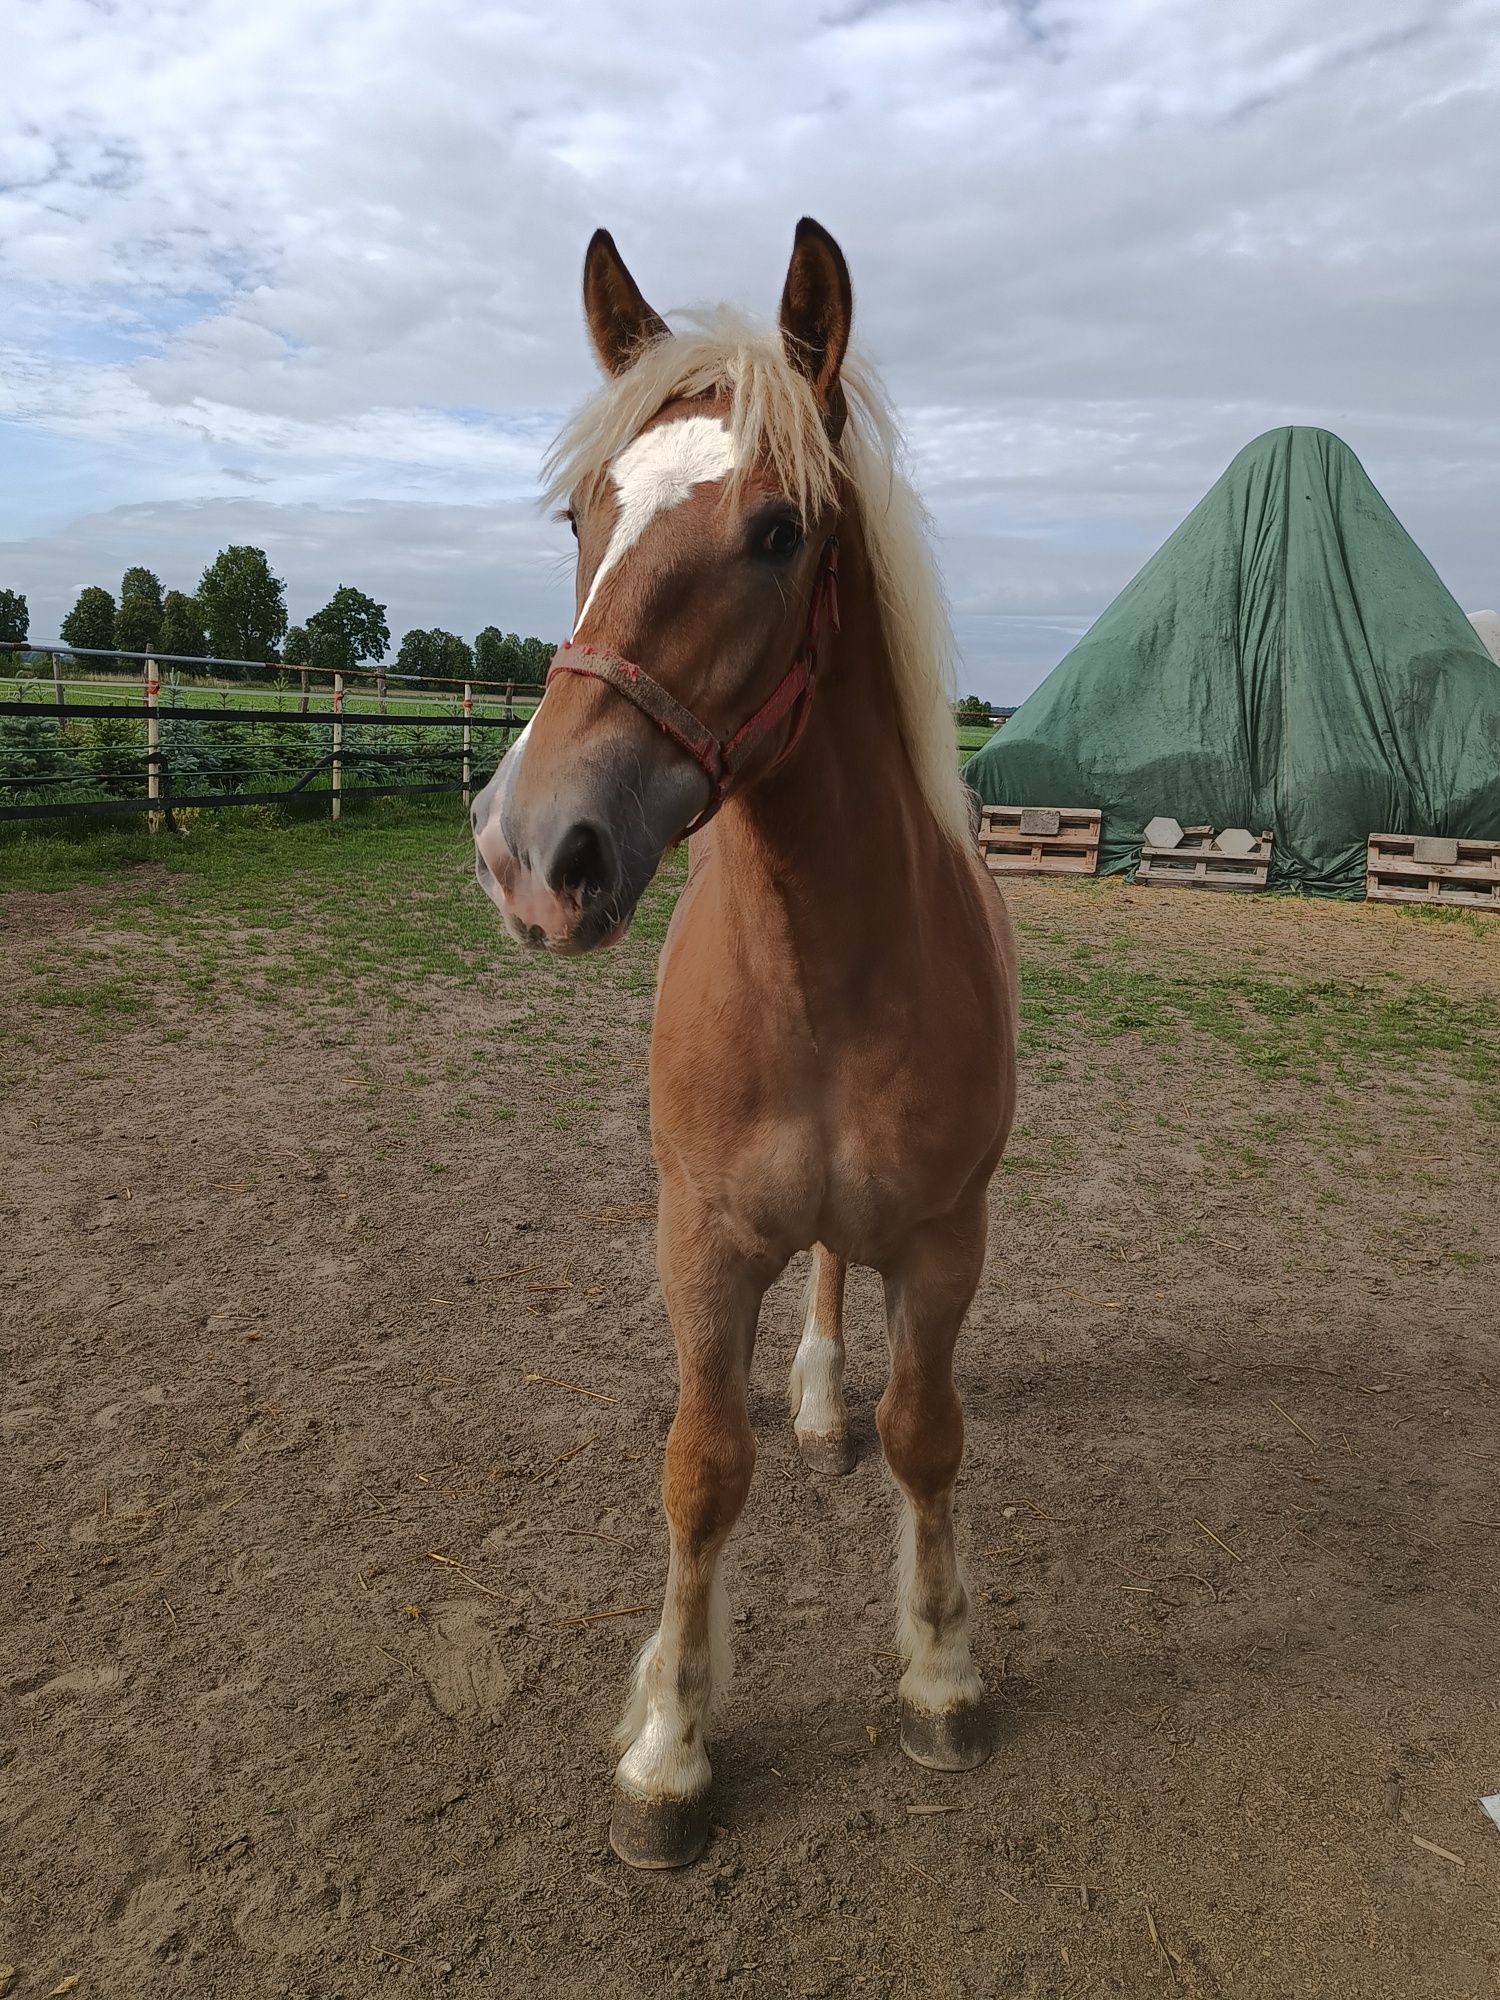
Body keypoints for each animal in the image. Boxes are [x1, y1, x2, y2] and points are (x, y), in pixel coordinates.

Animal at [472, 223, 1024, 1872]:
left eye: (779, 533)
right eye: (581, 512)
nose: (534, 851)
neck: (827, 973)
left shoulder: (947, 1238)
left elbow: (927, 1437)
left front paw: (942, 1675)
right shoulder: (701, 1241)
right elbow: (703, 1471)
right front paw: (669, 1750)